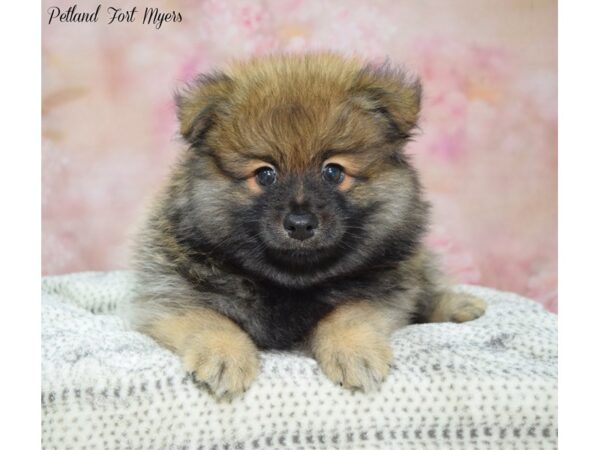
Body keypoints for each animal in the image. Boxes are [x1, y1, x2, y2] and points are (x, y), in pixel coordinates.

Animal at [129, 53, 486, 400]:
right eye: (265, 175)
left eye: (333, 172)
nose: (300, 224)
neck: (292, 281)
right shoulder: (169, 296)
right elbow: (208, 320)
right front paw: (224, 355)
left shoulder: (382, 292)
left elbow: (347, 314)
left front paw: (353, 350)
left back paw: (458, 306)